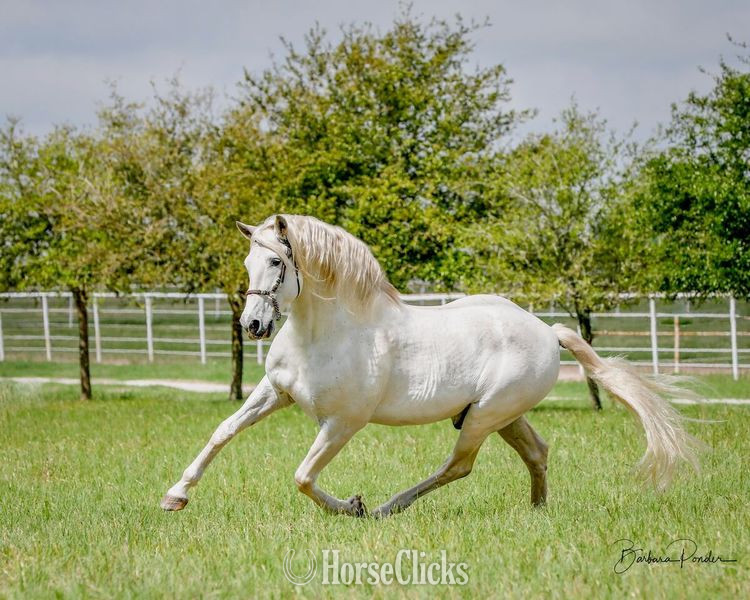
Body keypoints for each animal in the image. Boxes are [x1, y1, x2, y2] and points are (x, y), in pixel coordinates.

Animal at [161, 214, 701, 518]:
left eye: (277, 263)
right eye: (248, 263)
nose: (253, 324)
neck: (328, 333)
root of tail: (547, 331)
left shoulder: (342, 424)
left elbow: (303, 476)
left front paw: (352, 507)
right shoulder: (276, 392)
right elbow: (223, 432)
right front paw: (175, 496)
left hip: (483, 418)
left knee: (458, 466)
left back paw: (386, 507)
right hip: (502, 416)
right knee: (537, 452)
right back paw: (537, 512)